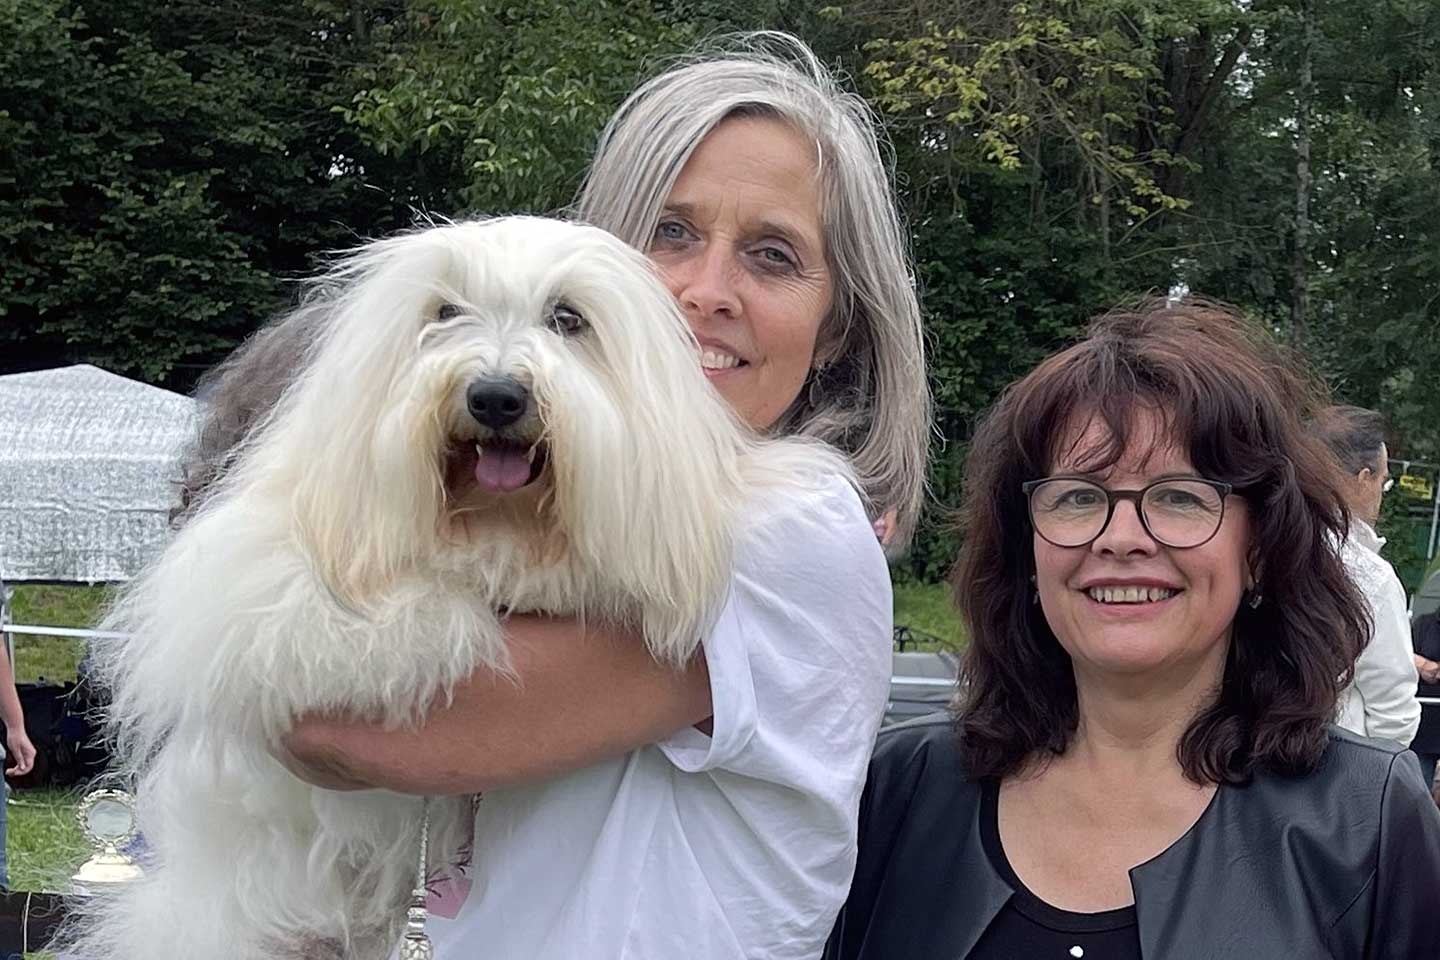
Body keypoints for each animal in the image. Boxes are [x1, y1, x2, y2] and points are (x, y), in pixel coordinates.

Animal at [59, 217, 849, 959]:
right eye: (444, 312)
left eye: (568, 317)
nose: (496, 396)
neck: (498, 527)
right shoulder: (255, 583)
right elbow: (350, 613)